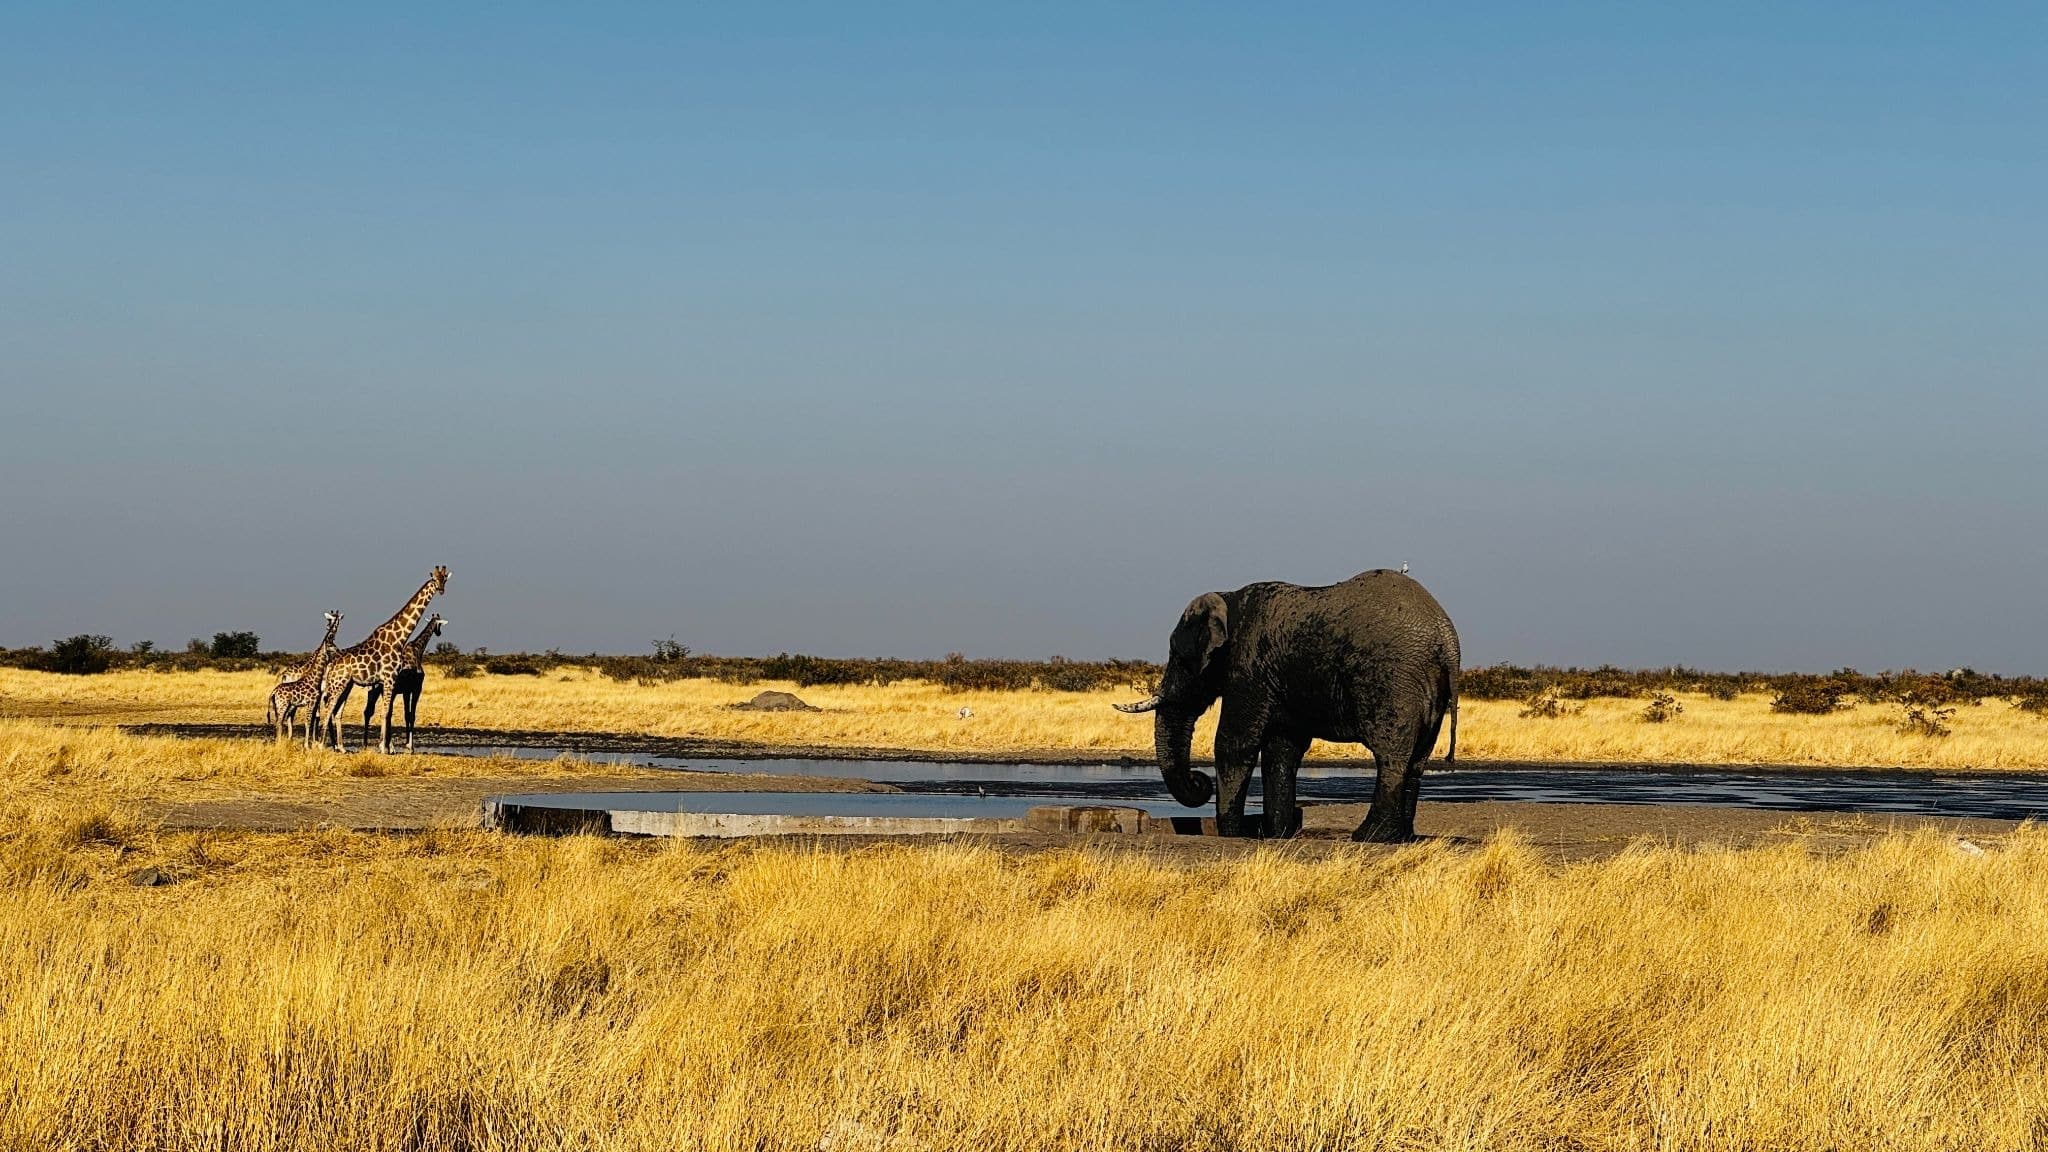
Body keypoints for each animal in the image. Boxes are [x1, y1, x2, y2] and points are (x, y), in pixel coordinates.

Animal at [267, 610, 343, 747]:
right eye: (330, 618)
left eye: (336, 619)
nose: (338, 649)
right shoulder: (314, 700)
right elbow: (311, 720)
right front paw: (310, 744)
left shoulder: (316, 699)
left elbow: (313, 719)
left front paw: (313, 743)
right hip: (284, 705)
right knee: (282, 720)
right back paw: (282, 742)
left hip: (284, 705)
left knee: (284, 719)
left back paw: (285, 740)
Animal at [361, 614, 445, 754]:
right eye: (439, 624)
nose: (439, 633)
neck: (418, 650)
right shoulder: (415, 689)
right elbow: (411, 715)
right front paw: (410, 747)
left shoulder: (404, 691)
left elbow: (404, 714)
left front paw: (404, 745)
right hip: (386, 690)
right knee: (384, 713)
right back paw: (388, 747)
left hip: (374, 690)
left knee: (370, 711)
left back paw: (368, 744)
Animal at [1116, 569, 1460, 842]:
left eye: (1180, 657)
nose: (1200, 782)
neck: (1230, 600)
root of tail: (1446, 638)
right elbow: (1281, 750)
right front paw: (1276, 834)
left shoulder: (1248, 666)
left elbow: (1235, 743)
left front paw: (1232, 834)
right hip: (1427, 686)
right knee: (1416, 760)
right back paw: (1401, 837)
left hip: (1392, 679)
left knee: (1391, 756)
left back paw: (1370, 836)